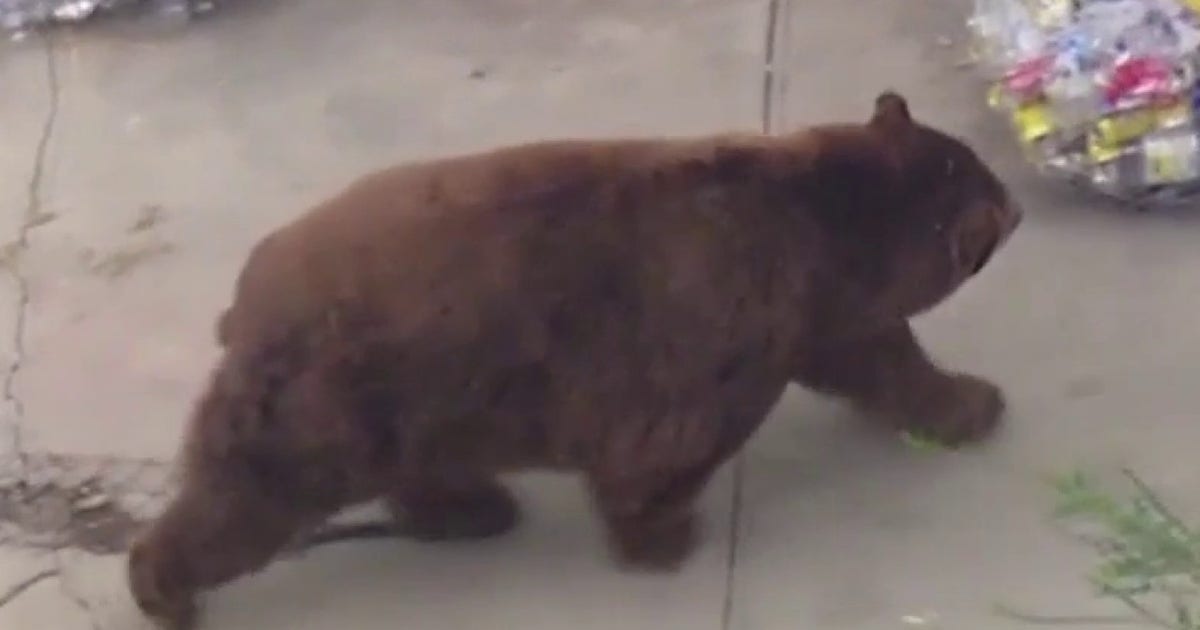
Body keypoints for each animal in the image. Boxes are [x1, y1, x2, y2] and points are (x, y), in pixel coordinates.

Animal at [128, 91, 1021, 629]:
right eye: (995, 194)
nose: (1015, 209)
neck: (828, 228)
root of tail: (244, 300)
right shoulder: (726, 324)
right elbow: (665, 447)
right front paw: (663, 537)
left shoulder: (821, 313)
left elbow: (883, 359)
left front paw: (970, 402)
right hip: (329, 398)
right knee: (243, 501)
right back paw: (164, 589)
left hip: (417, 404)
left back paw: (472, 509)